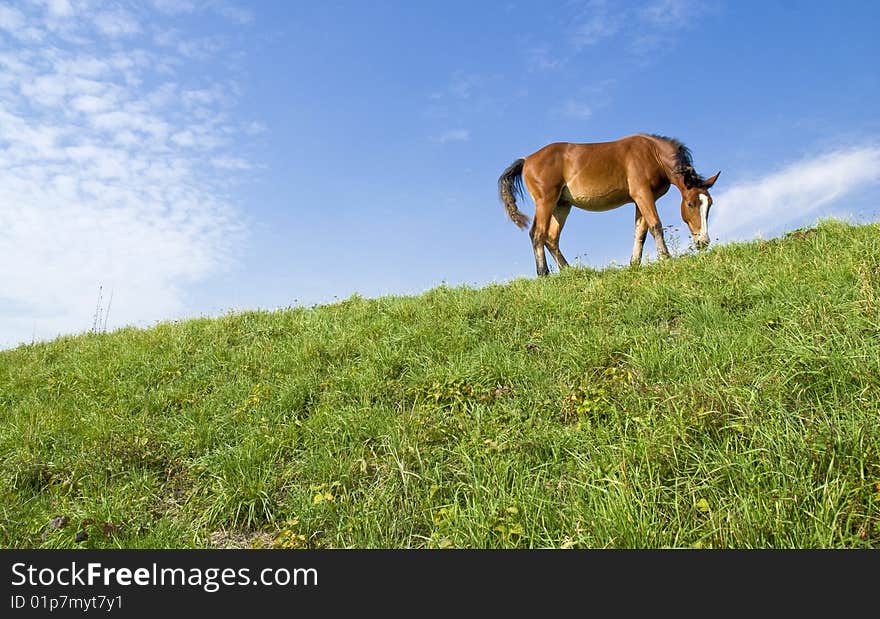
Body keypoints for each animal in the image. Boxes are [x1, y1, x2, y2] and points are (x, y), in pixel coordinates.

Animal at [498, 135, 720, 276]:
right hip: (546, 202)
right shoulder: (643, 194)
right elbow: (656, 225)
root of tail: (527, 159)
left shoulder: (641, 199)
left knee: (551, 238)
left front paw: (634, 264)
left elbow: (640, 232)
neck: (652, 153)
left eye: (709, 205)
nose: (704, 241)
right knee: (537, 234)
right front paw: (666, 258)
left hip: (561, 205)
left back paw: (569, 271)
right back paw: (544, 274)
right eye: (690, 204)